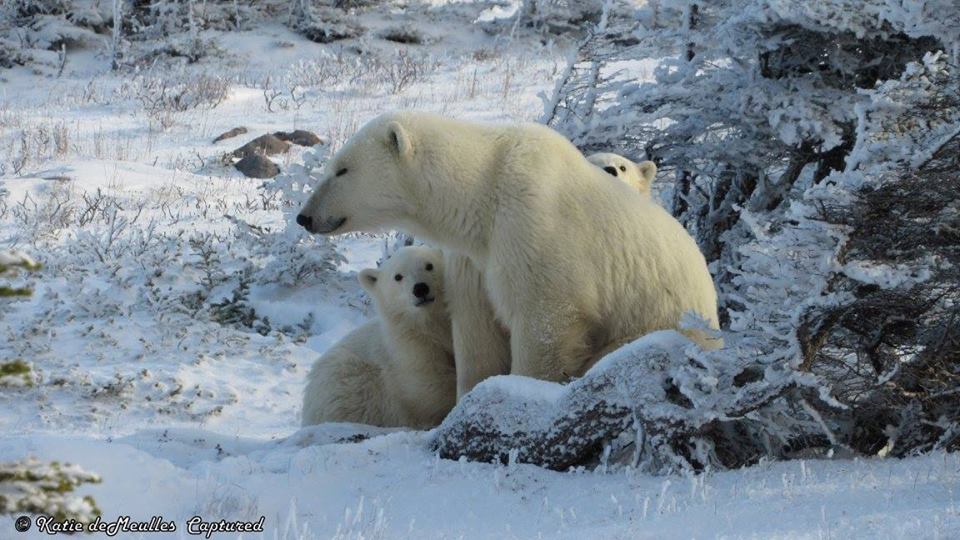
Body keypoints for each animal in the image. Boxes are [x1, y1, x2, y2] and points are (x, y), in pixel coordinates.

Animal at [296, 111, 721, 383]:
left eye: (342, 169)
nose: (305, 216)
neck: (483, 193)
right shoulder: (474, 258)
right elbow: (477, 332)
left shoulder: (533, 226)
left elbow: (544, 320)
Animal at [301, 246, 456, 428]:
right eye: (398, 276)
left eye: (429, 265)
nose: (420, 289)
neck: (429, 323)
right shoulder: (410, 348)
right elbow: (428, 388)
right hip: (345, 380)